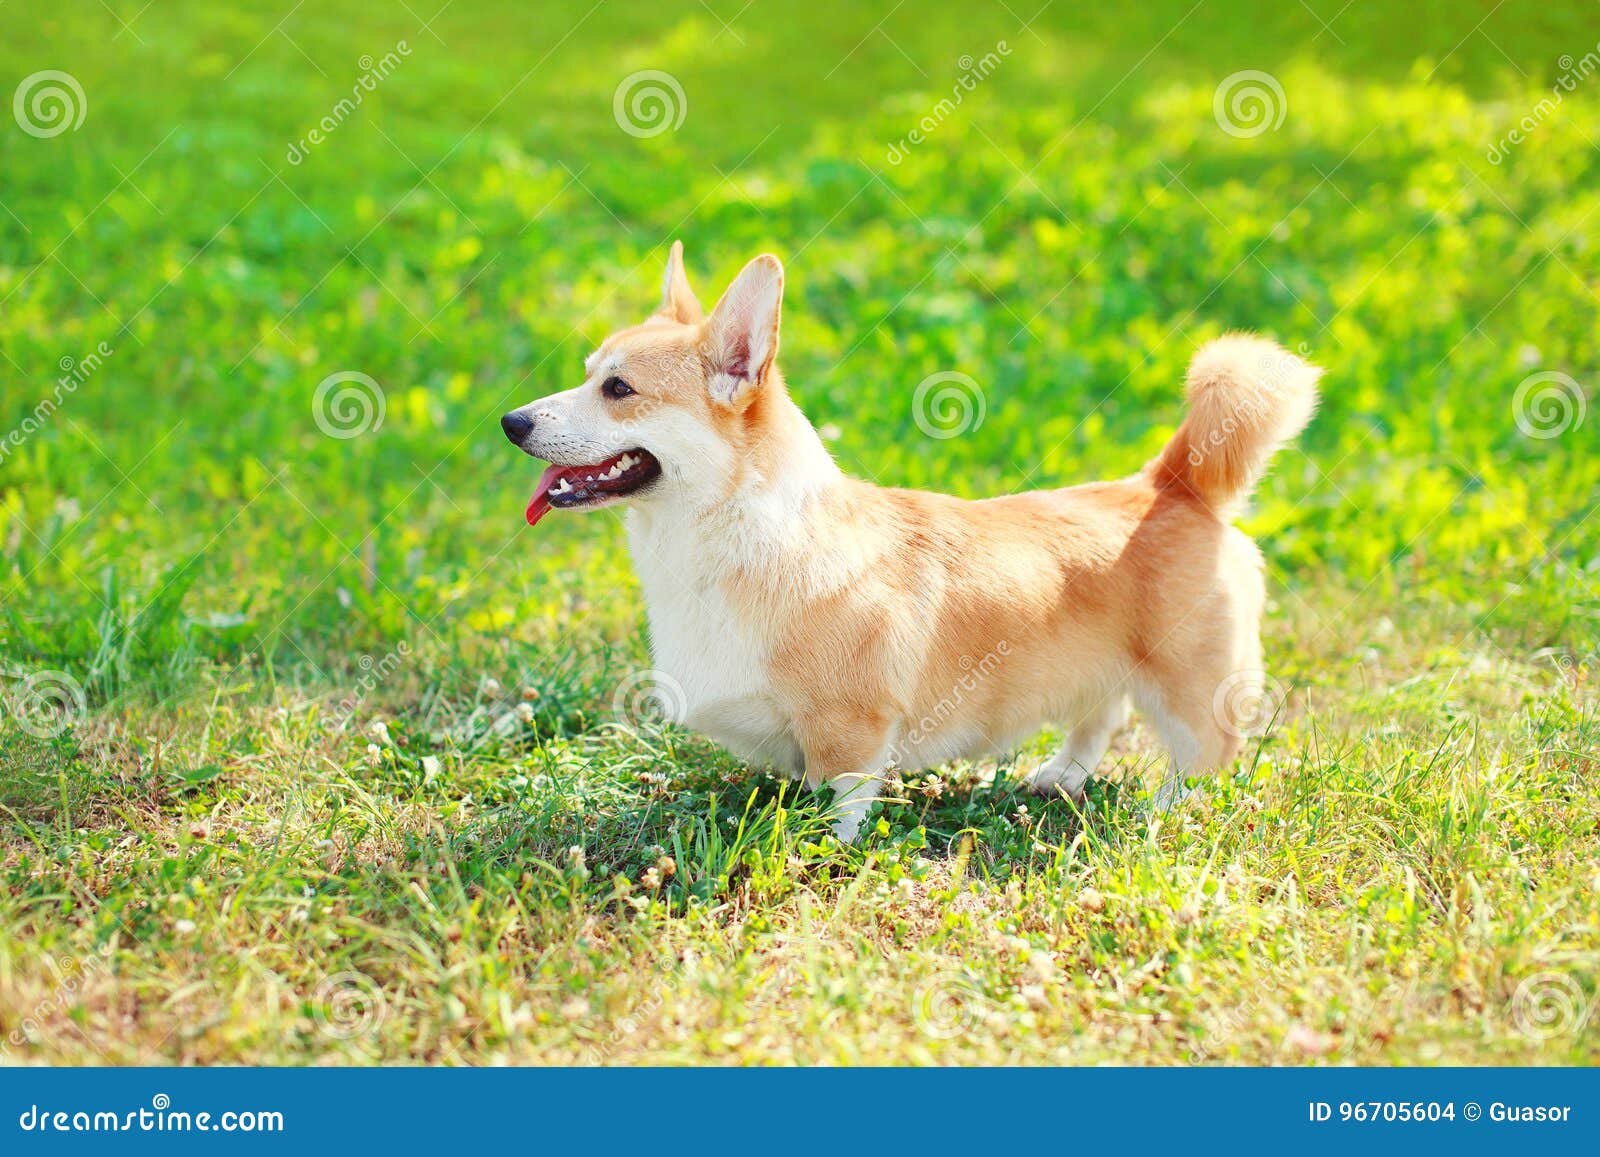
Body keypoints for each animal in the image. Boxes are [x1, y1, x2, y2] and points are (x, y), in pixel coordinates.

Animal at [505, 244, 1318, 844]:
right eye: (588, 374)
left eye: (618, 390)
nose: (511, 422)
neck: (730, 535)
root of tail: (1171, 483)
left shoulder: (852, 731)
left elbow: (841, 801)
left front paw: (818, 849)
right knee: (1100, 713)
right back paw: (1060, 776)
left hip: (1188, 685)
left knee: (1206, 755)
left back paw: (1166, 812)